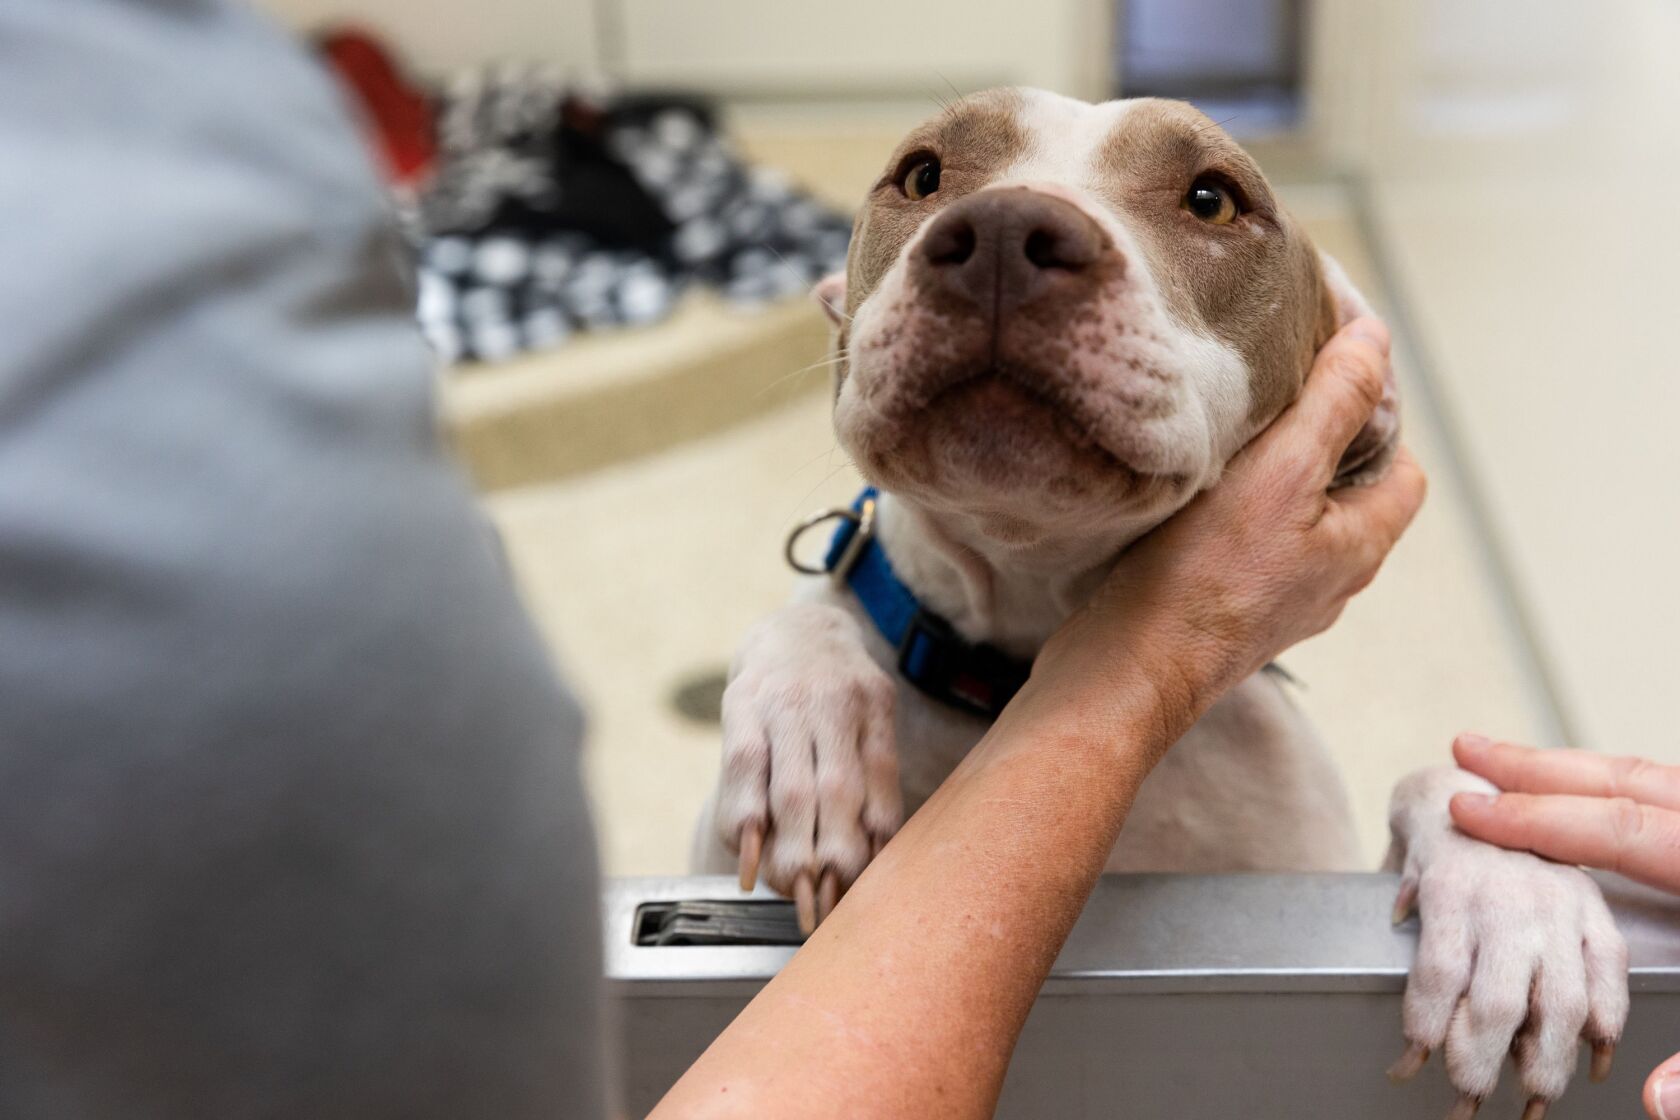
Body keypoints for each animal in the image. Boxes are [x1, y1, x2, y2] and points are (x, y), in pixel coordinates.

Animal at [692, 89, 1626, 1120]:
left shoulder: (1316, 879)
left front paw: (1516, 900)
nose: (1003, 233)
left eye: (1212, 198)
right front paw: (811, 726)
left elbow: (1438, 779)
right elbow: (813, 604)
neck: (1029, 635)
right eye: (924, 175)